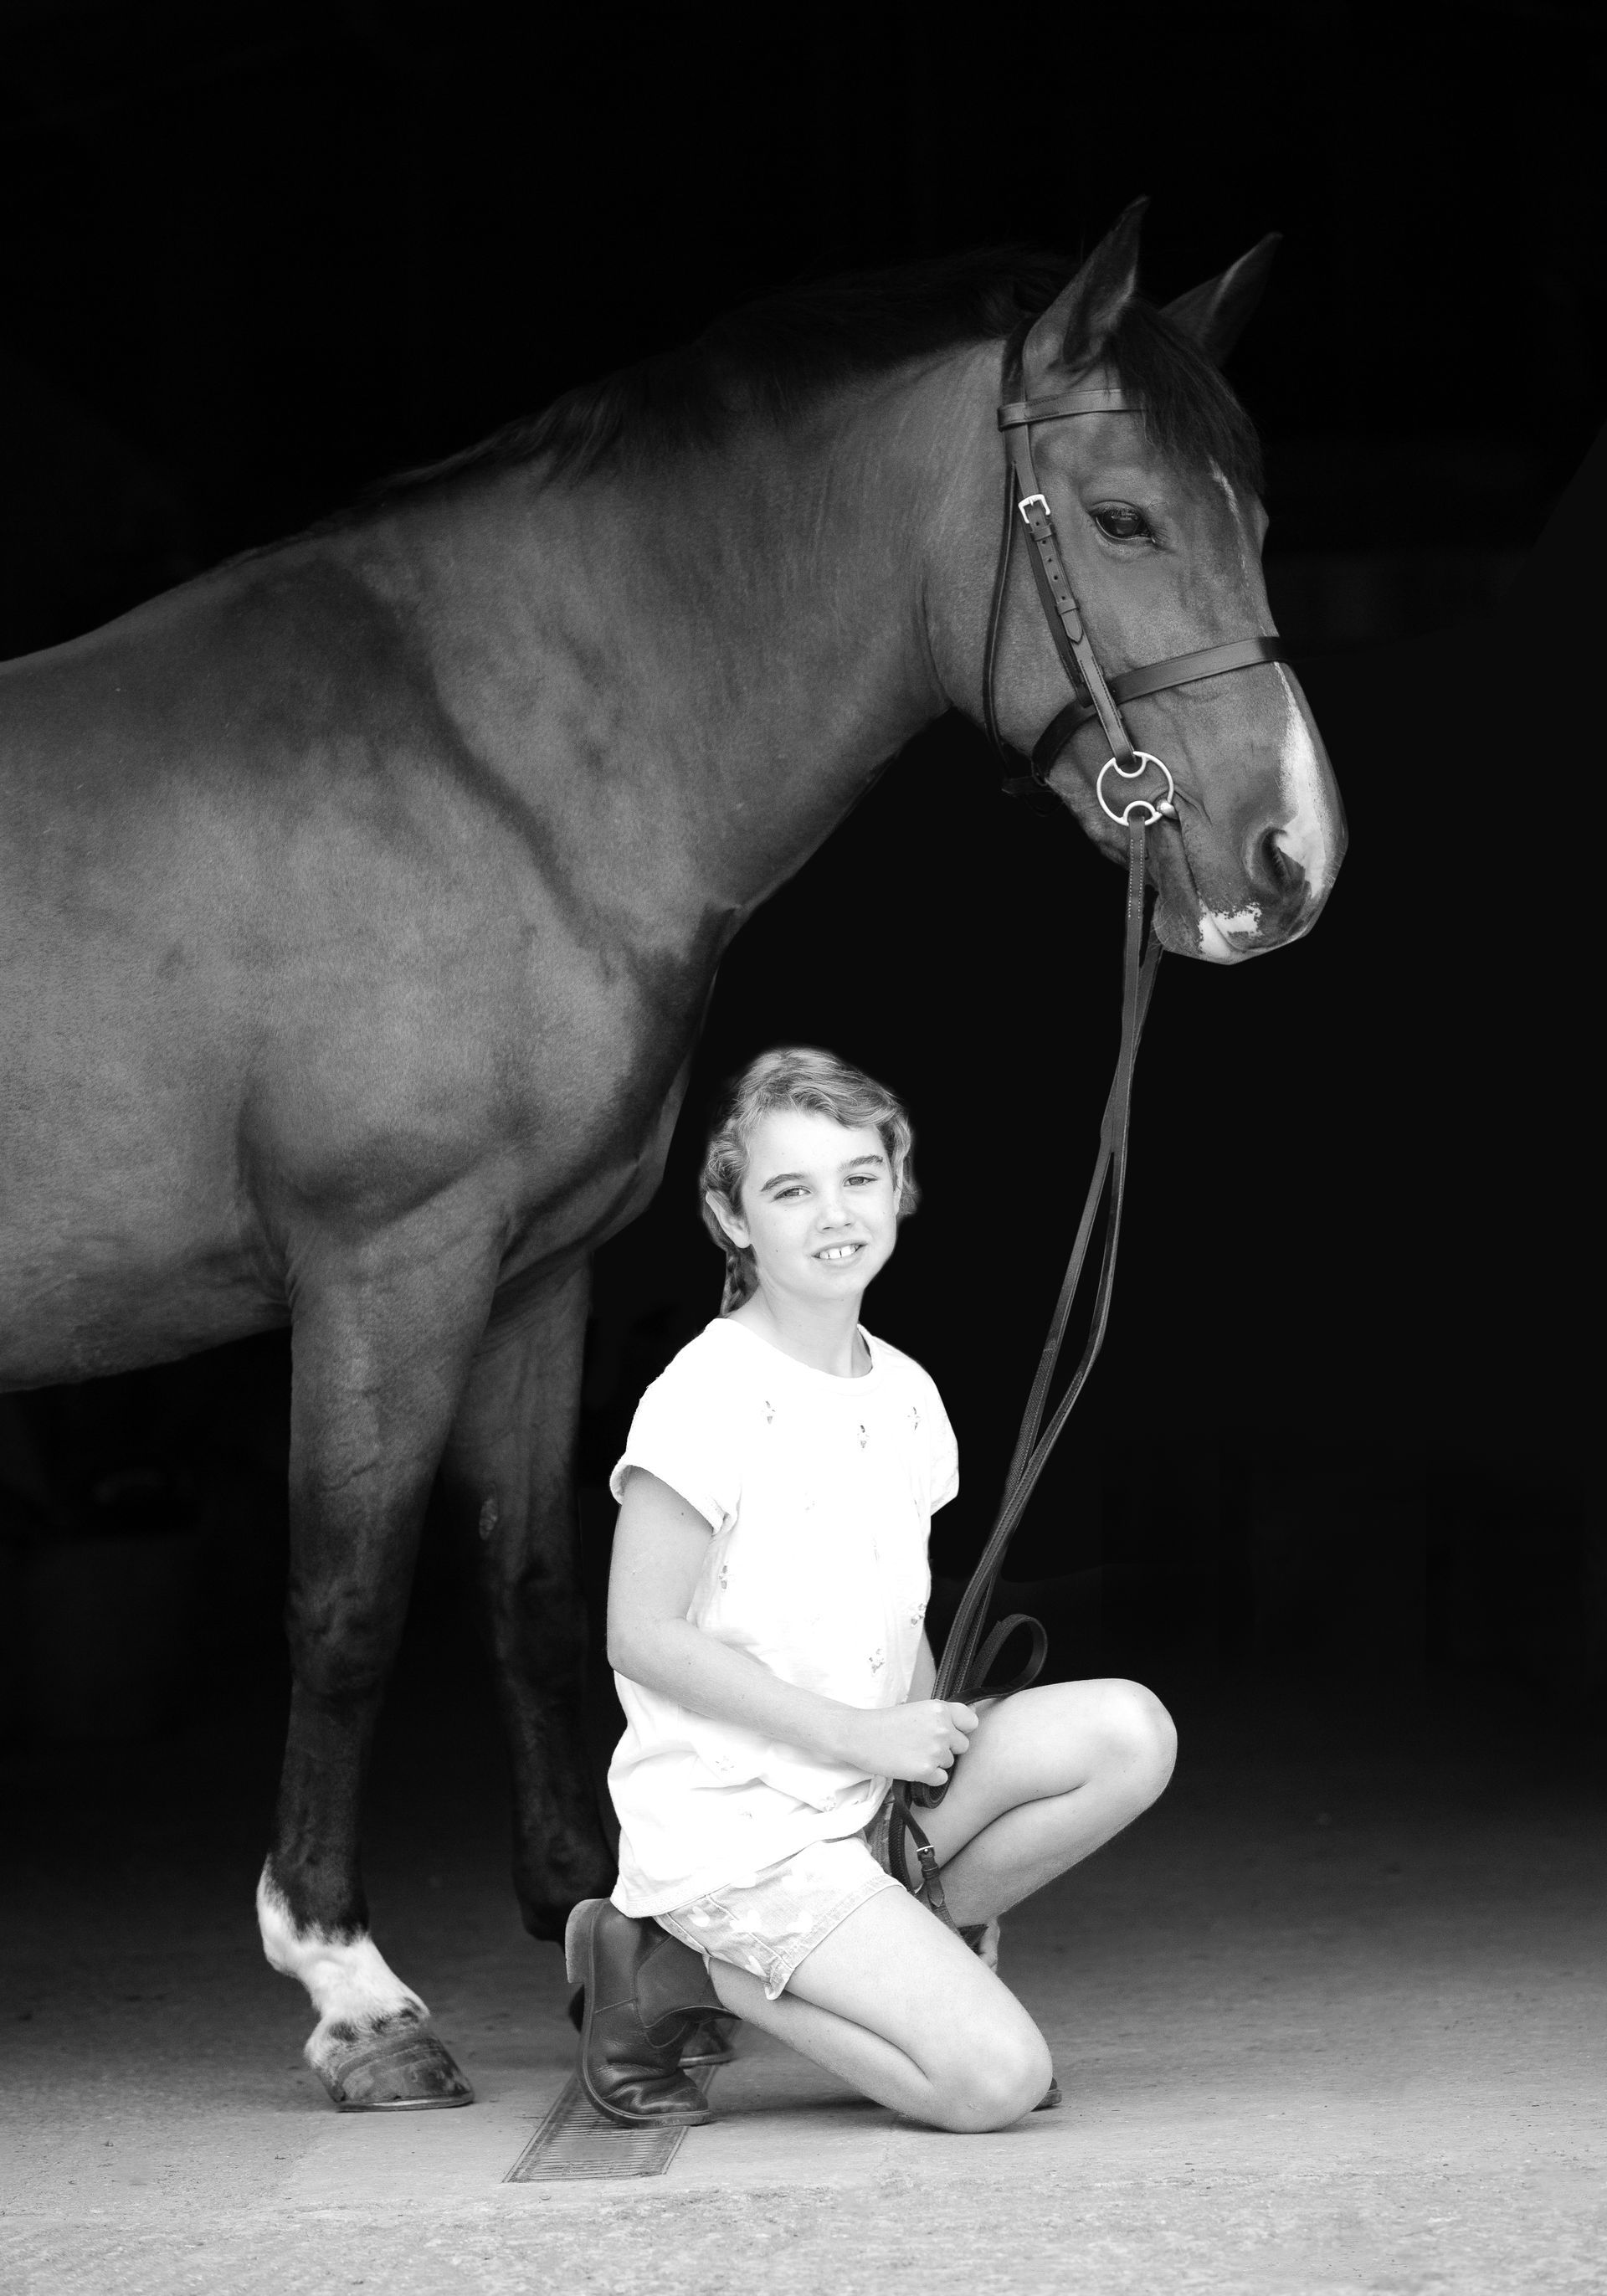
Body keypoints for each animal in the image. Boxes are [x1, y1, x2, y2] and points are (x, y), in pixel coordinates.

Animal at [0, 202, 1345, 2110]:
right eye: (1124, 517)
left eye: (1258, 519)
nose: (1291, 856)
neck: (488, 760)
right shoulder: (388, 1263)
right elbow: (349, 1599)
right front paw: (350, 1989)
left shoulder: (530, 1271)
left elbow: (537, 1579)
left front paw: (598, 1912)